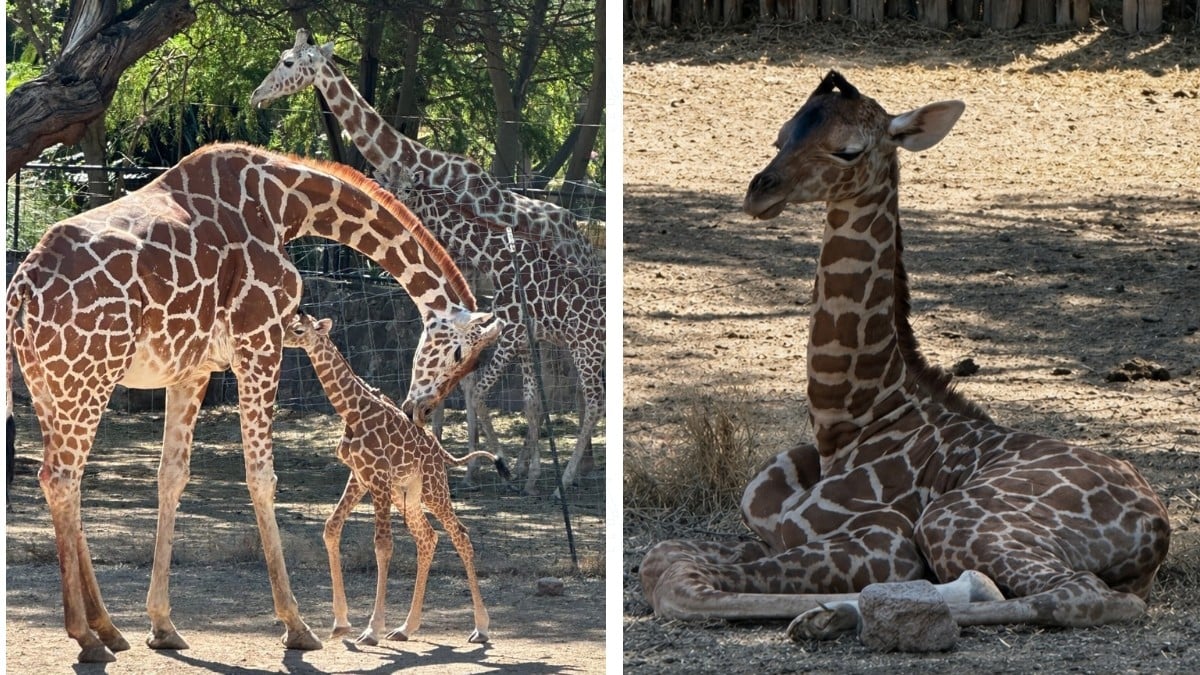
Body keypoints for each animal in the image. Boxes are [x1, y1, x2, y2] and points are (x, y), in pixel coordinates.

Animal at [250, 29, 605, 495]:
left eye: (289, 62)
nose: (257, 95)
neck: (423, 163)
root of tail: (580, 233)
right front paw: (458, 456)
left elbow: (460, 370)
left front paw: (467, 461)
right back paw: (561, 466)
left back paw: (565, 468)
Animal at [282, 311, 501, 645]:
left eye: (297, 329)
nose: (278, 338)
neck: (352, 410)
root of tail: (440, 451)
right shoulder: (360, 476)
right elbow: (331, 528)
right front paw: (341, 623)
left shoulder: (378, 478)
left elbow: (383, 545)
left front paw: (372, 630)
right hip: (406, 494)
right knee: (427, 537)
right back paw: (405, 628)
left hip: (433, 489)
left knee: (460, 535)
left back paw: (481, 627)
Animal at [639, 71, 1170, 641]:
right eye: (781, 136)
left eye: (848, 150)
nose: (760, 192)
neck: (847, 422)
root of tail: (1156, 529)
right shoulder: (771, 531)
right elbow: (661, 557)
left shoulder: (885, 540)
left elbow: (677, 584)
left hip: (954, 518)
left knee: (1080, 593)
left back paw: (833, 616)